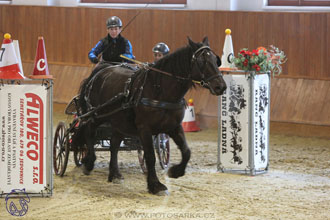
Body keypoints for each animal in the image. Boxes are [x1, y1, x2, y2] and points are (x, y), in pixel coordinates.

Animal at [73, 37, 226, 195]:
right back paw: (89, 163)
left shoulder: (174, 126)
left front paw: (175, 171)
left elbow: (186, 151)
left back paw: (114, 174)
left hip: (119, 122)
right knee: (89, 132)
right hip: (97, 115)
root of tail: (100, 71)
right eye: (202, 61)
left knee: (114, 144)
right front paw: (155, 185)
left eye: (215, 60)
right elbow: (150, 156)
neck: (160, 91)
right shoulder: (145, 129)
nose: (221, 86)